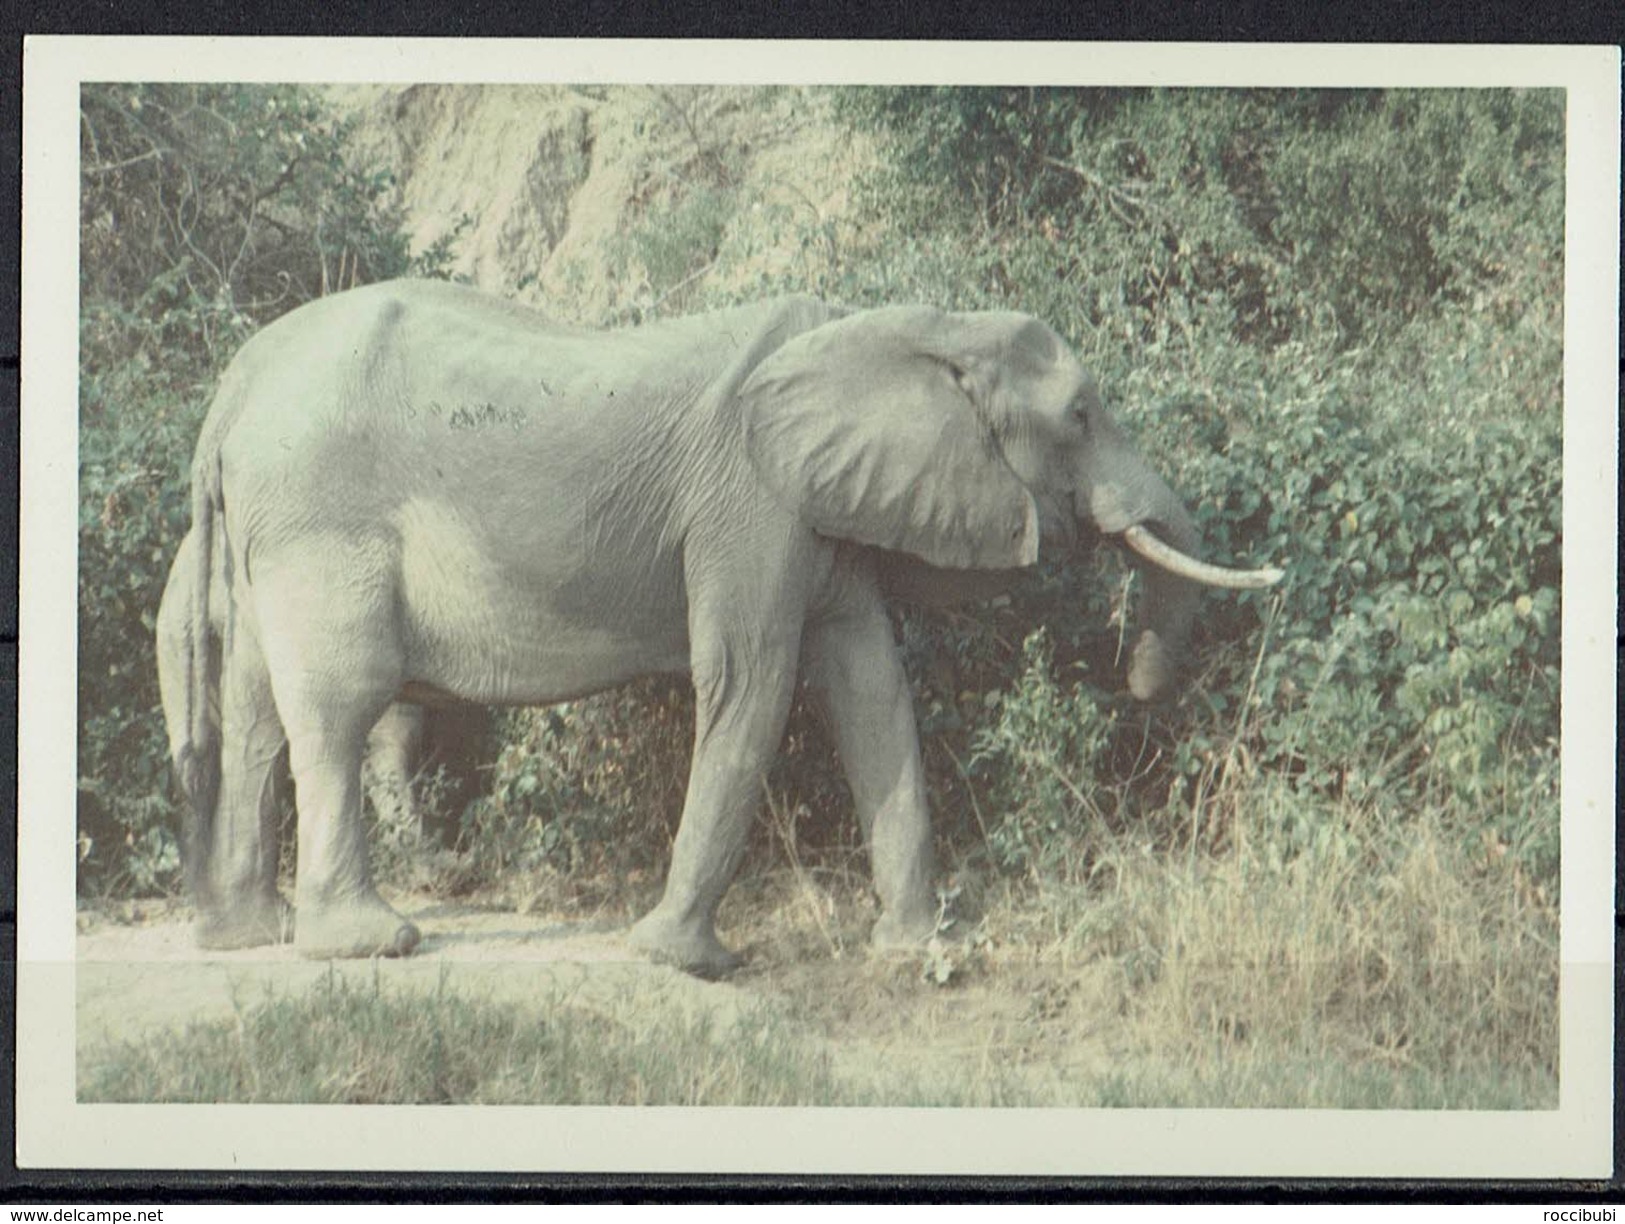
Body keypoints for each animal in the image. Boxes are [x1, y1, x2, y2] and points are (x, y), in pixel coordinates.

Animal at [168, 279, 1280, 975]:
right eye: (1082, 416)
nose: (1139, 677)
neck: (900, 326)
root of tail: (233, 387)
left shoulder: (823, 513)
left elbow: (870, 689)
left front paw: (922, 953)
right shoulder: (750, 503)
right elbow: (751, 681)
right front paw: (683, 961)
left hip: (270, 533)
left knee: (258, 714)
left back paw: (246, 934)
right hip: (321, 521)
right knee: (338, 707)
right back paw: (368, 942)